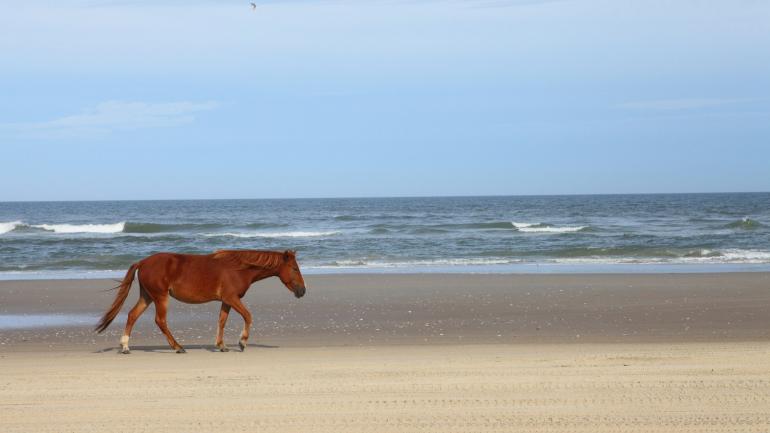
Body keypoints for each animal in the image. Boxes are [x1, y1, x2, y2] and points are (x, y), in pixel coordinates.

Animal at [95, 249, 306, 354]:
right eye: (295, 268)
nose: (302, 291)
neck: (238, 268)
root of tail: (142, 262)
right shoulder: (232, 298)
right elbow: (248, 316)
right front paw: (242, 342)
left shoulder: (227, 300)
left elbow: (222, 321)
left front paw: (221, 345)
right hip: (160, 297)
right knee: (160, 321)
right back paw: (178, 347)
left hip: (147, 296)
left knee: (132, 315)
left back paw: (125, 347)